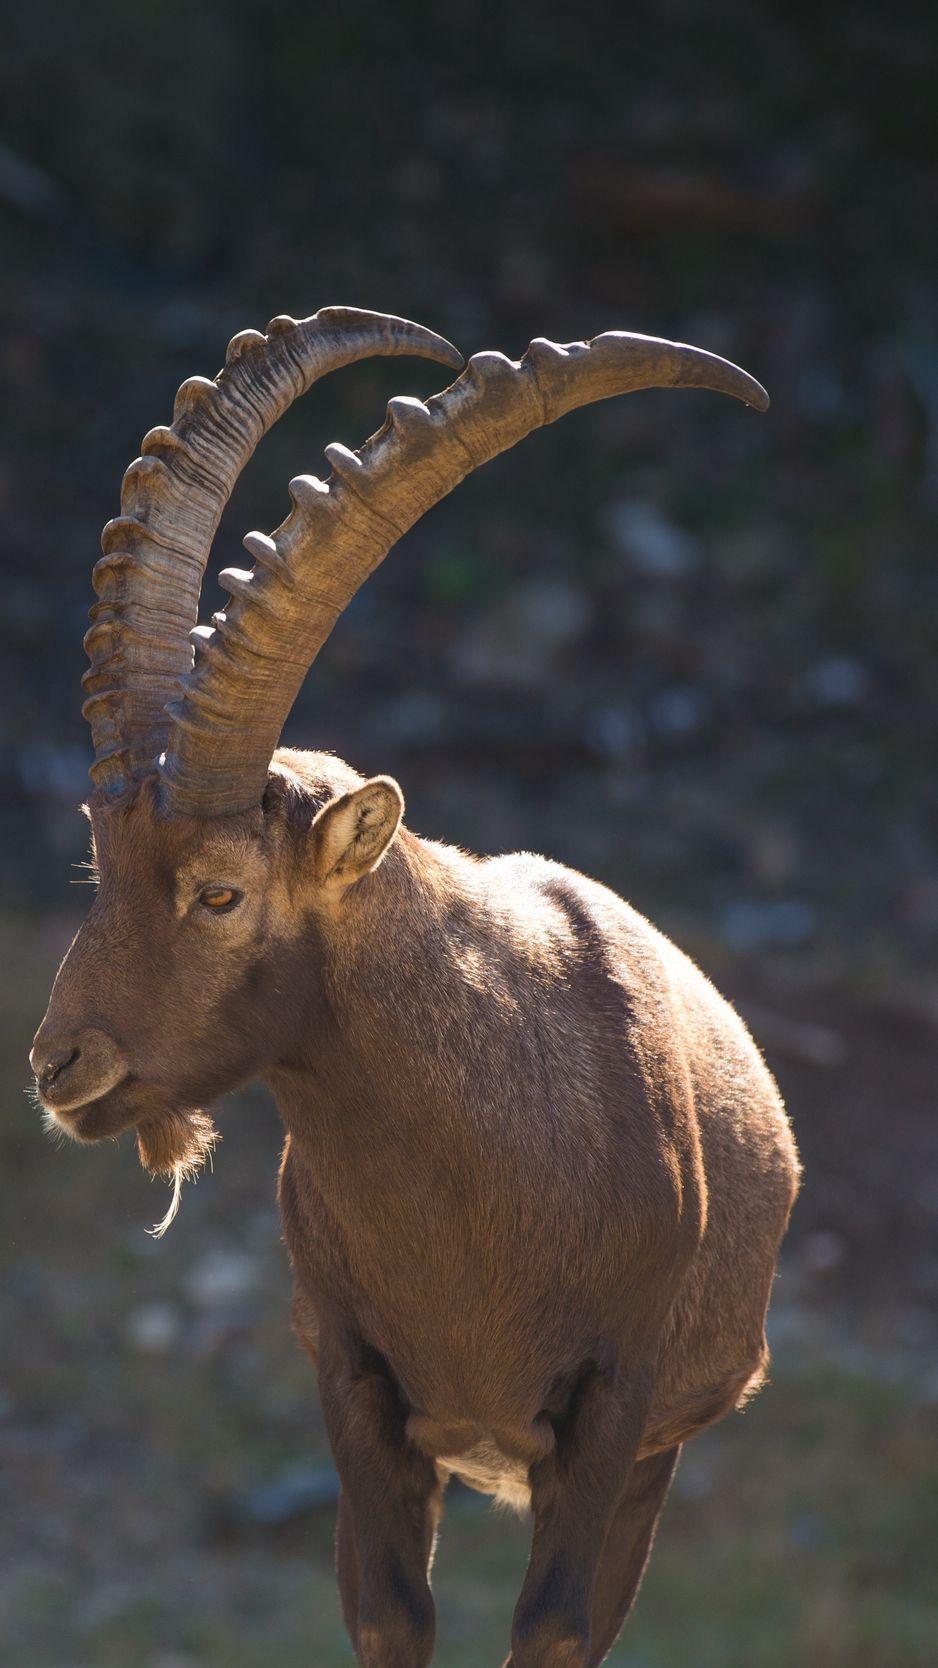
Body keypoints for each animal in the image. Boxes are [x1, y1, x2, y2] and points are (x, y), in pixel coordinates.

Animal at [32, 308, 800, 1667]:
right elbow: (389, 1614)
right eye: (100, 863)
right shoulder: (353, 1380)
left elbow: (552, 1628)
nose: (61, 1065)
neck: (479, 1173)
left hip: (659, 1449)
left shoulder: (615, 1401)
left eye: (220, 893)